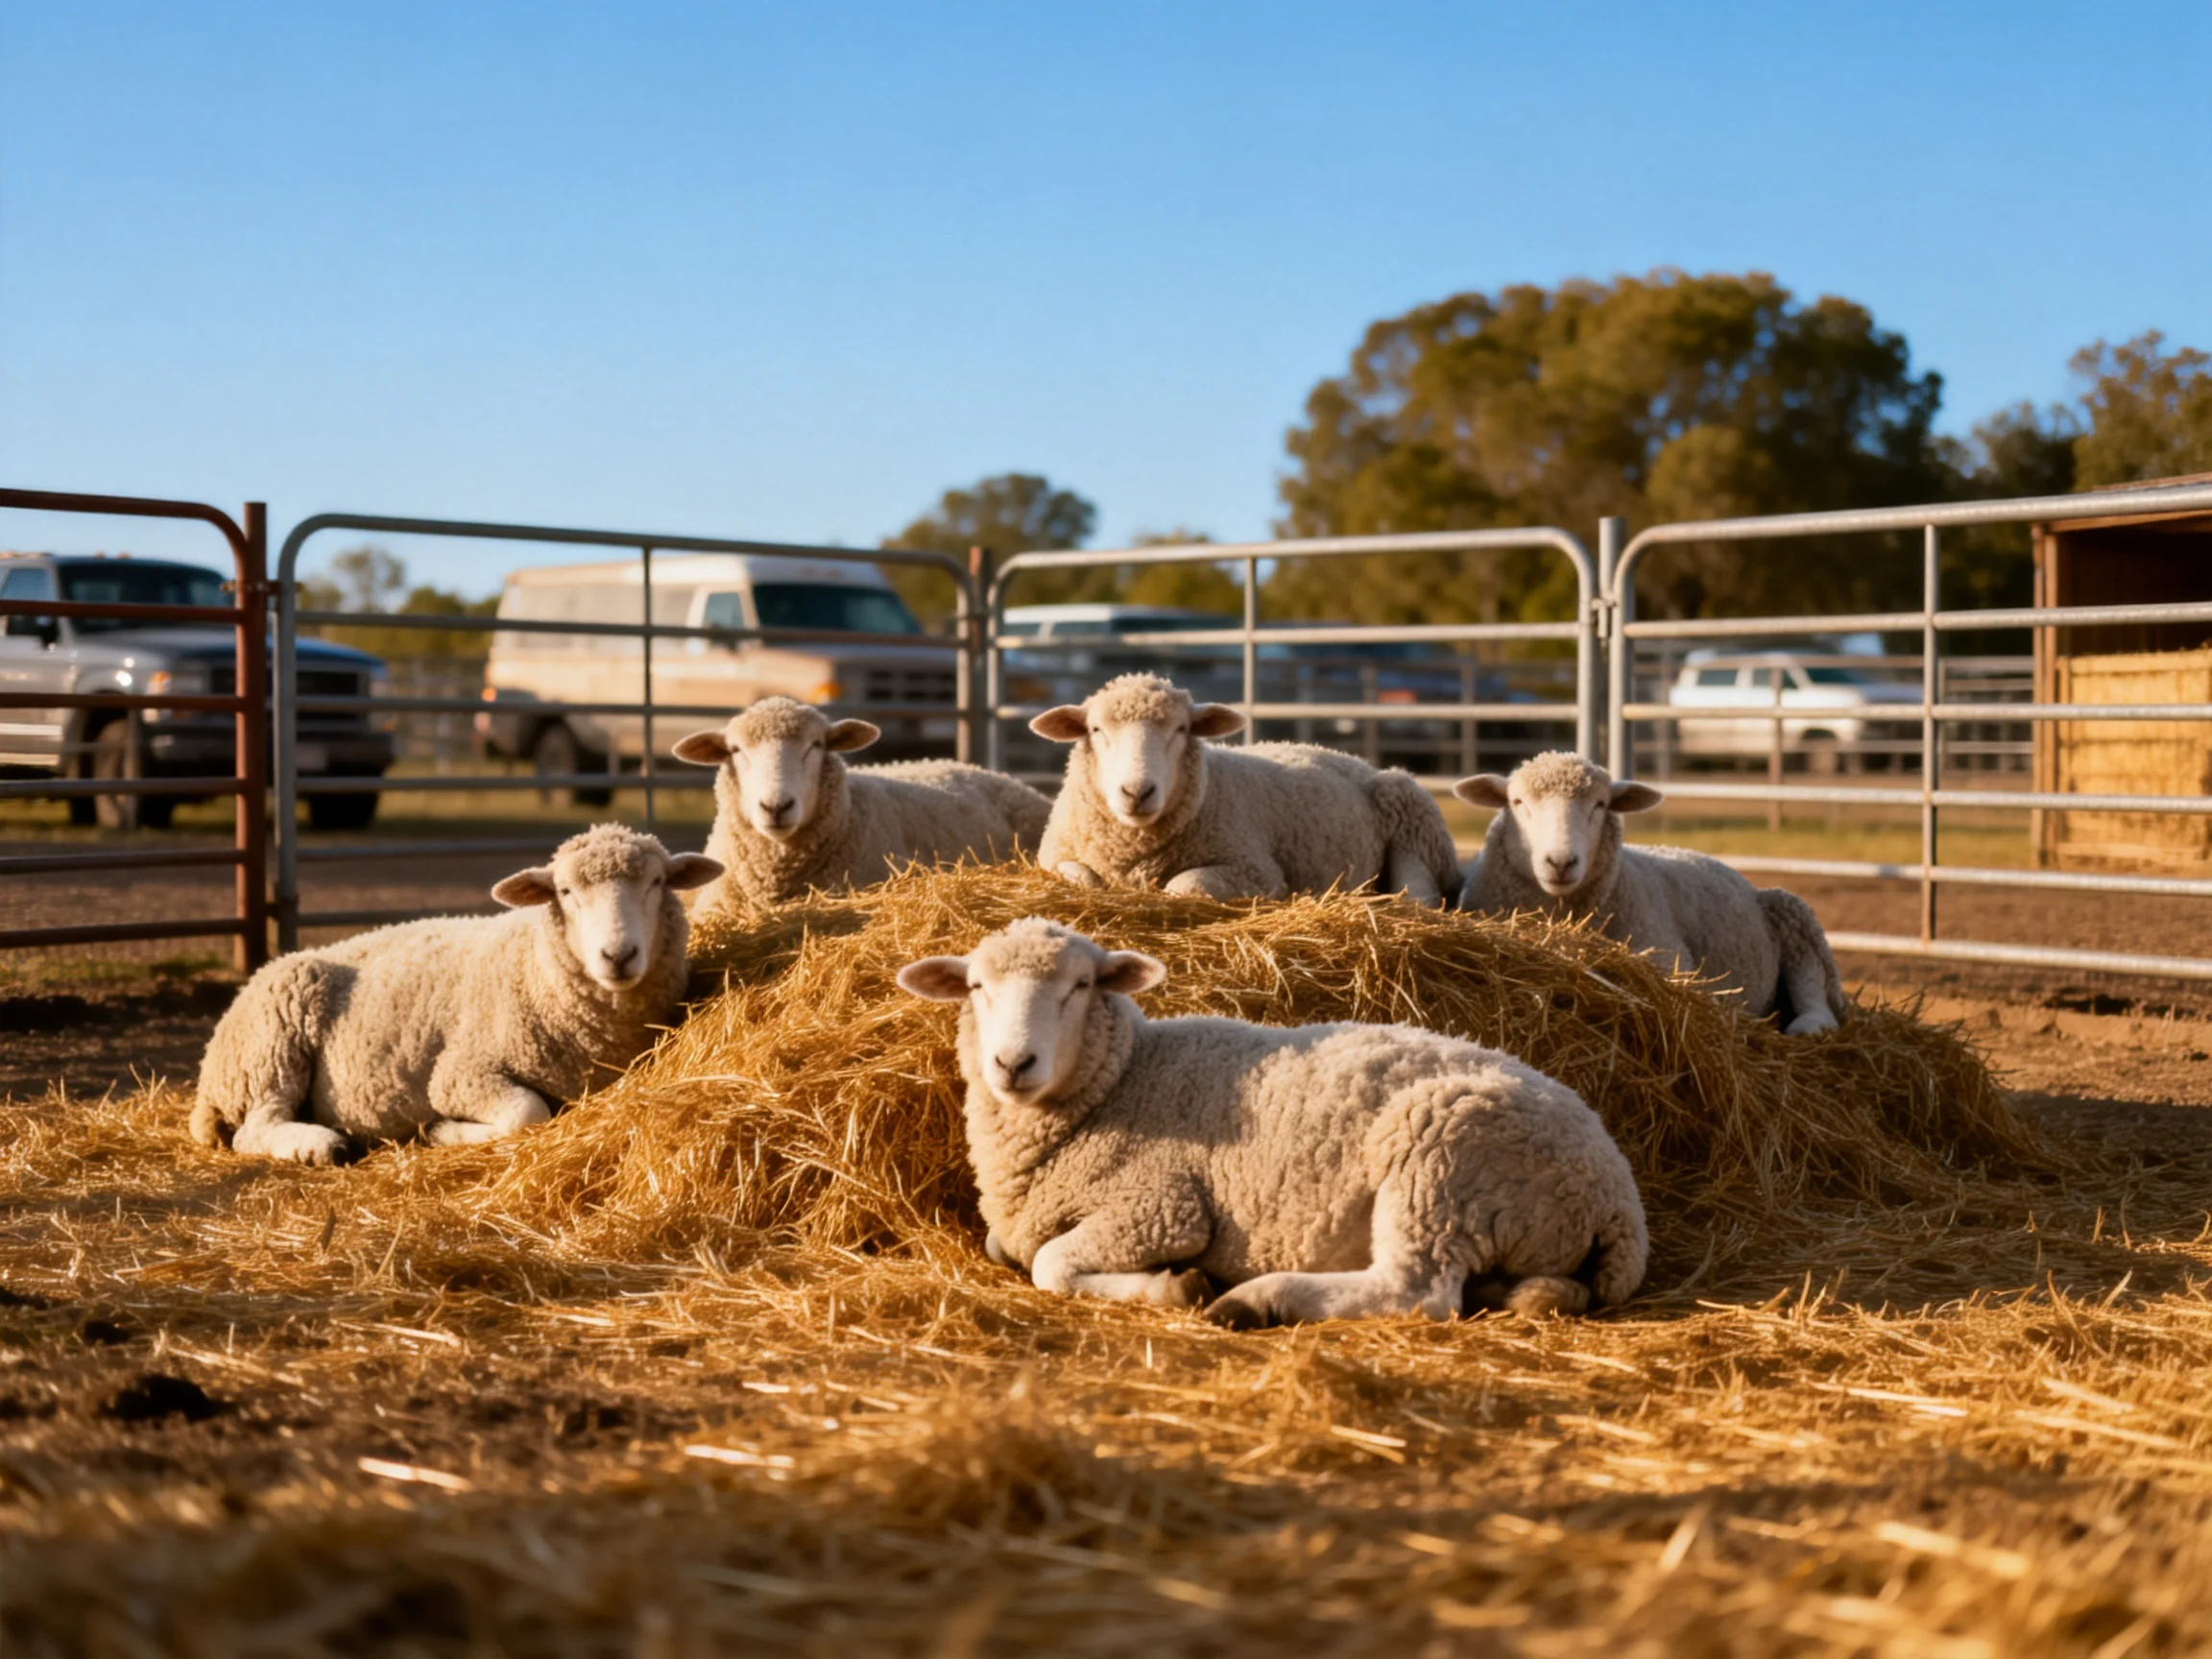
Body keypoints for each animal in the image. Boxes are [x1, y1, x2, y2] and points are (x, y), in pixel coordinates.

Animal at [190, 825, 723, 1165]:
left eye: (657, 882)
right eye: (566, 892)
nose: (618, 955)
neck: (533, 966)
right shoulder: (460, 1074)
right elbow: (529, 1113)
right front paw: (445, 1131)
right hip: (269, 1051)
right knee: (255, 1128)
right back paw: (321, 1146)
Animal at [897, 917, 1647, 1326]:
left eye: (1080, 986)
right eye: (975, 987)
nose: (1012, 1063)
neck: (1124, 1078)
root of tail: (1618, 1195)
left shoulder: (1160, 1208)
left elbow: (1048, 1264)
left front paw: (1175, 1286)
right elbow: (1005, 1247)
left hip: (1441, 1157)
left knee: (1418, 1292)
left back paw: (1252, 1300)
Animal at [1030, 673, 1463, 906]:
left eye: (1181, 729)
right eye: (1096, 730)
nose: (1137, 792)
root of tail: (1351, 757)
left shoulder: (1256, 870)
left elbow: (1182, 885)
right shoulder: (1051, 856)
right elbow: (1084, 879)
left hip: (1414, 821)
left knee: (1421, 894)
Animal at [1455, 752, 1846, 1036]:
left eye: (1600, 805)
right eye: (1518, 802)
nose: (1561, 862)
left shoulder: (1671, 957)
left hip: (1795, 919)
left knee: (1812, 985)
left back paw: (1811, 1025)